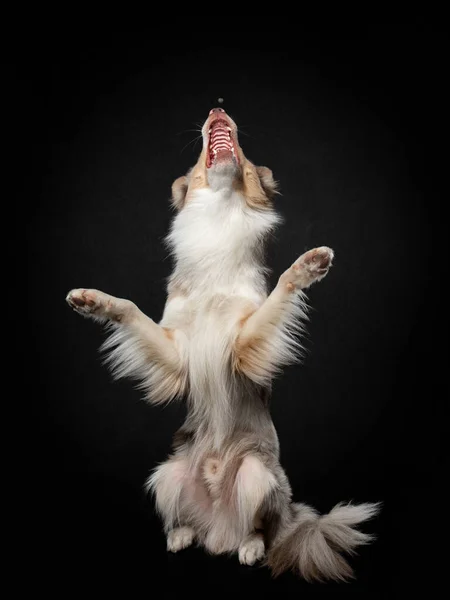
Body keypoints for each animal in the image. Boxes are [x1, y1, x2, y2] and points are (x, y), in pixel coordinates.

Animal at [65, 106, 378, 580]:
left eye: (246, 157)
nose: (217, 107)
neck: (219, 215)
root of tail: (219, 531)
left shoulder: (244, 345)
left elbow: (281, 289)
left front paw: (307, 266)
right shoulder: (176, 353)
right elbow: (131, 309)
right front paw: (92, 300)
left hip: (256, 477)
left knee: (258, 526)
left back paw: (250, 546)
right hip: (168, 474)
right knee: (184, 517)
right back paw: (182, 535)